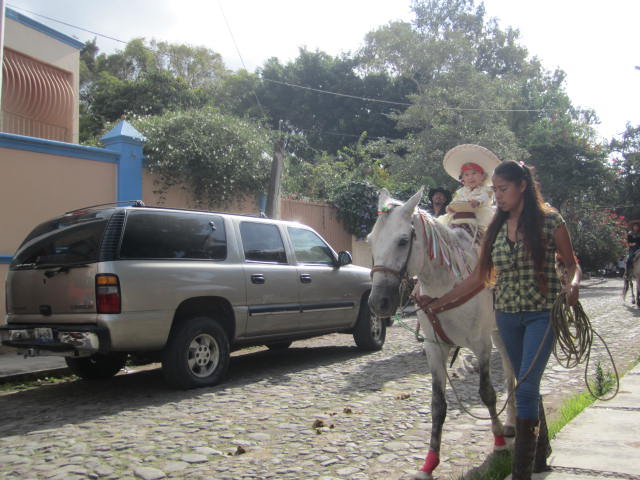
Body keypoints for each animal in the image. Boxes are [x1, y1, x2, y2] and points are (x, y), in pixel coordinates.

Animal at [364, 188, 516, 480]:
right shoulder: (434, 348)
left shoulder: (481, 344)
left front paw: (500, 443)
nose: (378, 303)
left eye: (403, 241)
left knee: (513, 372)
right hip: (498, 333)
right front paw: (429, 463)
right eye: (370, 240)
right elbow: (438, 405)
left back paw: (512, 423)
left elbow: (488, 393)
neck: (448, 284)